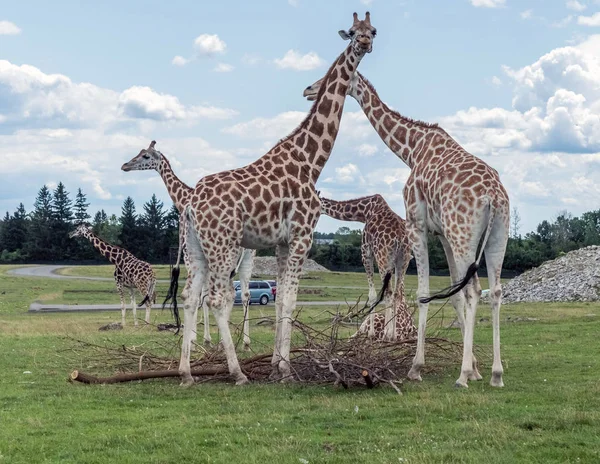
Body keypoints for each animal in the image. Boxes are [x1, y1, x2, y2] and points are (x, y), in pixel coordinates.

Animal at [119, 143, 255, 350]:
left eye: (145, 156)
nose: (125, 165)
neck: (183, 200)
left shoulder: (190, 255)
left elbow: (199, 296)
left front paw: (195, 339)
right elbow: (204, 296)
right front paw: (205, 338)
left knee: (231, 293)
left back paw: (225, 342)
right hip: (248, 257)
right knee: (245, 293)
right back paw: (245, 343)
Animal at [166, 12, 378, 386]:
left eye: (374, 31)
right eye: (353, 32)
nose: (365, 43)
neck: (311, 162)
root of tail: (190, 204)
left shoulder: (281, 242)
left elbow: (279, 301)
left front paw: (278, 364)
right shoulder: (302, 236)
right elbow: (290, 301)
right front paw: (286, 368)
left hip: (195, 247)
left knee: (191, 297)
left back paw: (186, 373)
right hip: (223, 244)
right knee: (217, 299)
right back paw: (237, 372)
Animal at [322, 194, 414, 342]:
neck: (365, 211)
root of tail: (400, 237)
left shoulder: (366, 251)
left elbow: (372, 294)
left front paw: (371, 334)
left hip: (383, 257)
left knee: (388, 292)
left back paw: (387, 334)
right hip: (402, 260)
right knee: (396, 293)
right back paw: (393, 335)